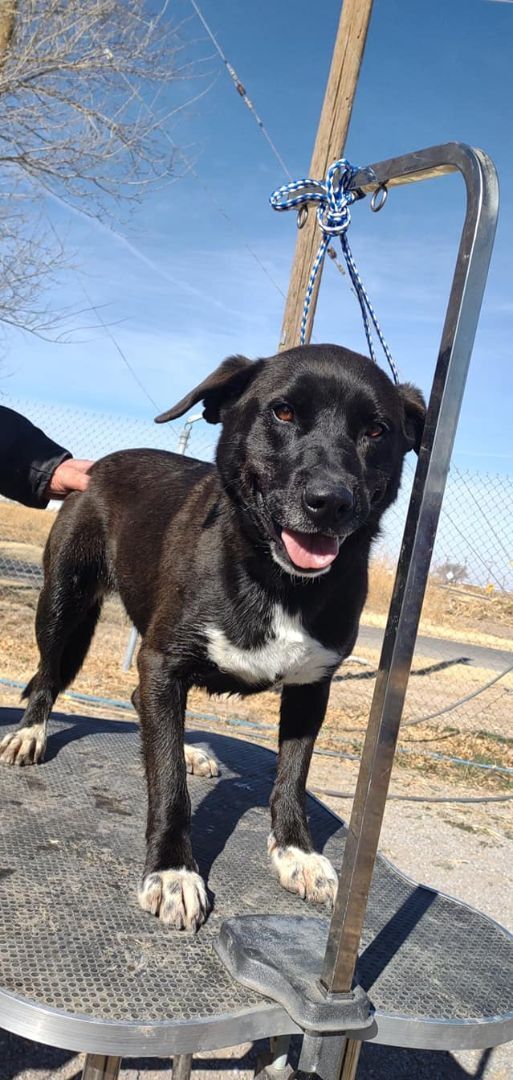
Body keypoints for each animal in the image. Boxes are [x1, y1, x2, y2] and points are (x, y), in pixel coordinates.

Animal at [0, 343, 425, 928]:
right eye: (283, 412)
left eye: (377, 430)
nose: (330, 501)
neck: (276, 579)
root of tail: (102, 464)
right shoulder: (162, 660)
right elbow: (168, 786)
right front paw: (174, 870)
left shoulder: (312, 685)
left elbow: (293, 776)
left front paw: (297, 853)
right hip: (64, 602)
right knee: (49, 674)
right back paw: (31, 733)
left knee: (142, 703)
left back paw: (188, 750)